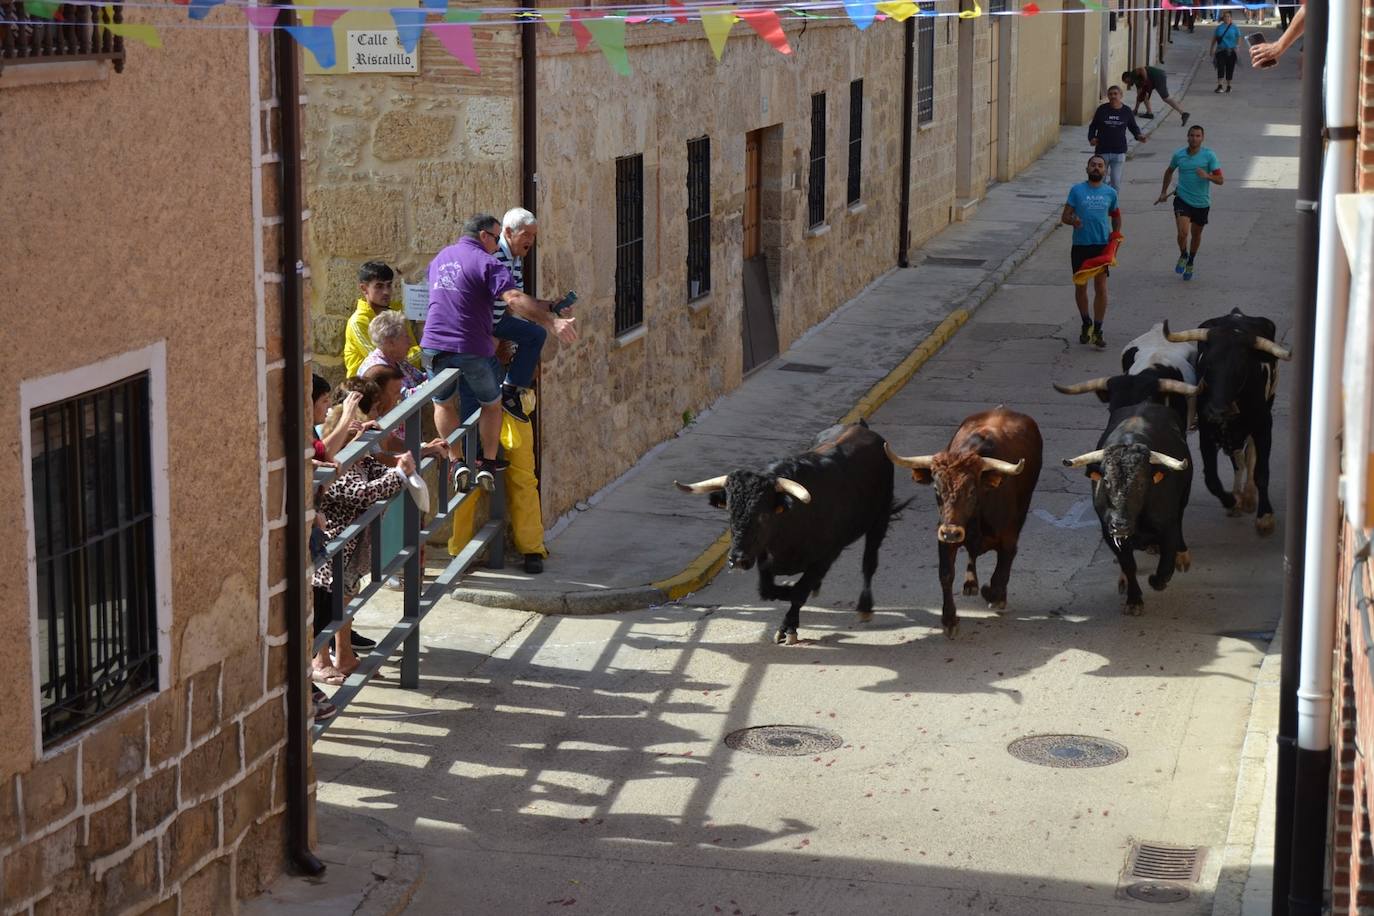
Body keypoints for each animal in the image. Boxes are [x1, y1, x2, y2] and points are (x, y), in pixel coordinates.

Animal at [673, 422, 906, 645]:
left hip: (879, 519)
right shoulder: (765, 558)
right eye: (730, 511)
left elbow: (799, 592)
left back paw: (865, 608)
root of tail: (862, 428)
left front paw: (788, 628)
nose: (737, 560)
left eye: (763, 515)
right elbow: (768, 590)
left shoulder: (826, 556)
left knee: (869, 563)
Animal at [890, 409, 1038, 637]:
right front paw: (949, 619)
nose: (952, 533)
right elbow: (946, 574)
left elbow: (1002, 568)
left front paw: (995, 595)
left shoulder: (1009, 536)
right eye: (936, 489)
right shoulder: (944, 536)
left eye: (971, 490)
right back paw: (970, 583)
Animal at [1060, 403, 1192, 612]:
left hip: (1184, 497)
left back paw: (1182, 556)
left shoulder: (1168, 527)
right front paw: (1134, 599)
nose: (1120, 525)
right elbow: (1129, 564)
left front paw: (1156, 581)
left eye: (1141, 484)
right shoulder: (1108, 531)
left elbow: (1166, 564)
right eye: (1106, 481)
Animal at [1165, 307, 1291, 538]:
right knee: (1238, 459)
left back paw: (1249, 496)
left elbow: (1261, 471)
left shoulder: (1263, 426)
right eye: (1207, 365)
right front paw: (1232, 501)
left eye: (1240, 368)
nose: (1216, 411)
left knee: (1249, 455)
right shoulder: (1207, 432)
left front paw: (1265, 517)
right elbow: (1212, 479)